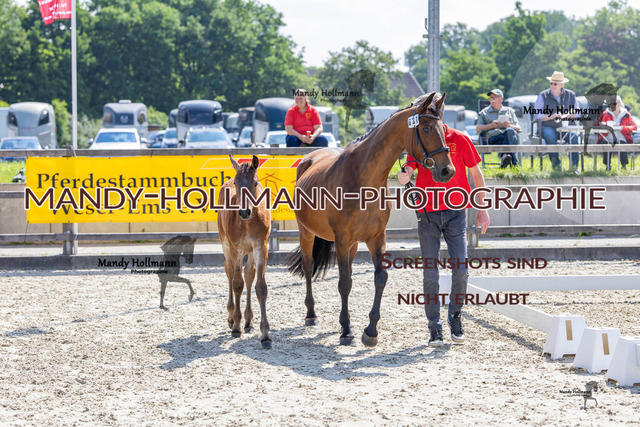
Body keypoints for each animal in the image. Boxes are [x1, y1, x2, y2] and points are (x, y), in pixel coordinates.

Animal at [218, 155, 272, 348]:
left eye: (255, 183)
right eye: (236, 182)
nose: (244, 211)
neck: (249, 222)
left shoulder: (261, 246)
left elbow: (260, 287)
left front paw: (265, 335)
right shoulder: (236, 248)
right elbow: (237, 283)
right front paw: (236, 325)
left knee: (249, 274)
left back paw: (248, 320)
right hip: (225, 244)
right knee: (229, 271)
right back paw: (232, 317)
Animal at [286, 92, 454, 346]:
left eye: (443, 128)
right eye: (425, 128)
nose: (447, 171)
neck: (364, 178)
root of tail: (309, 158)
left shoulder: (376, 238)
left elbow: (379, 278)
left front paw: (370, 330)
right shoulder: (342, 239)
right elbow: (344, 283)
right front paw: (347, 331)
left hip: (353, 244)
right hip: (307, 232)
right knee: (308, 266)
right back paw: (311, 314)